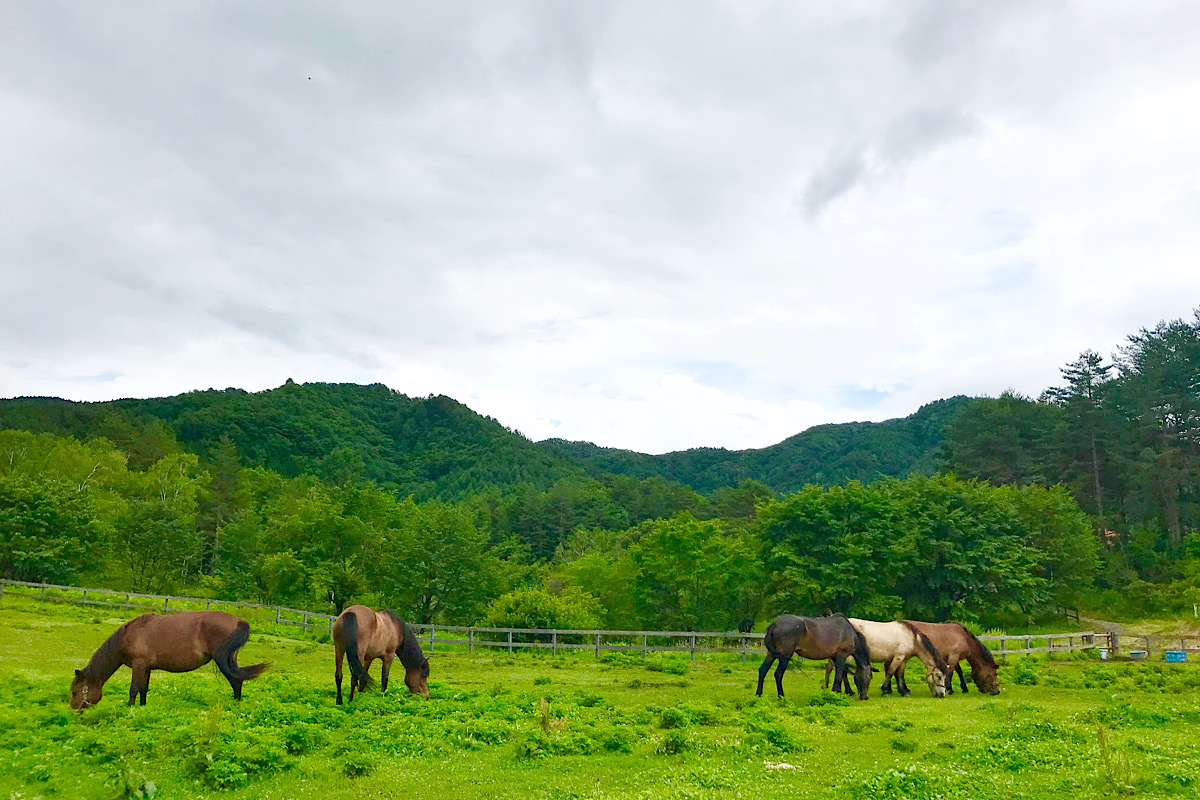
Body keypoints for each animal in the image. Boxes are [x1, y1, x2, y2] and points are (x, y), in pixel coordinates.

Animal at [69, 609, 271, 710]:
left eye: (75, 692)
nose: (73, 709)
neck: (130, 634)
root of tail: (239, 621)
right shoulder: (146, 667)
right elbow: (143, 689)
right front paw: (142, 709)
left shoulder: (138, 665)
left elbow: (133, 689)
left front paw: (130, 709)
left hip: (224, 661)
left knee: (236, 681)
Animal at [820, 618, 950, 695]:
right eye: (939, 676)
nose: (941, 694)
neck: (911, 636)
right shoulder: (898, 657)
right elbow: (891, 672)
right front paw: (886, 690)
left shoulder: (903, 659)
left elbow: (900, 674)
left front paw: (903, 690)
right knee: (842, 671)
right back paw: (849, 691)